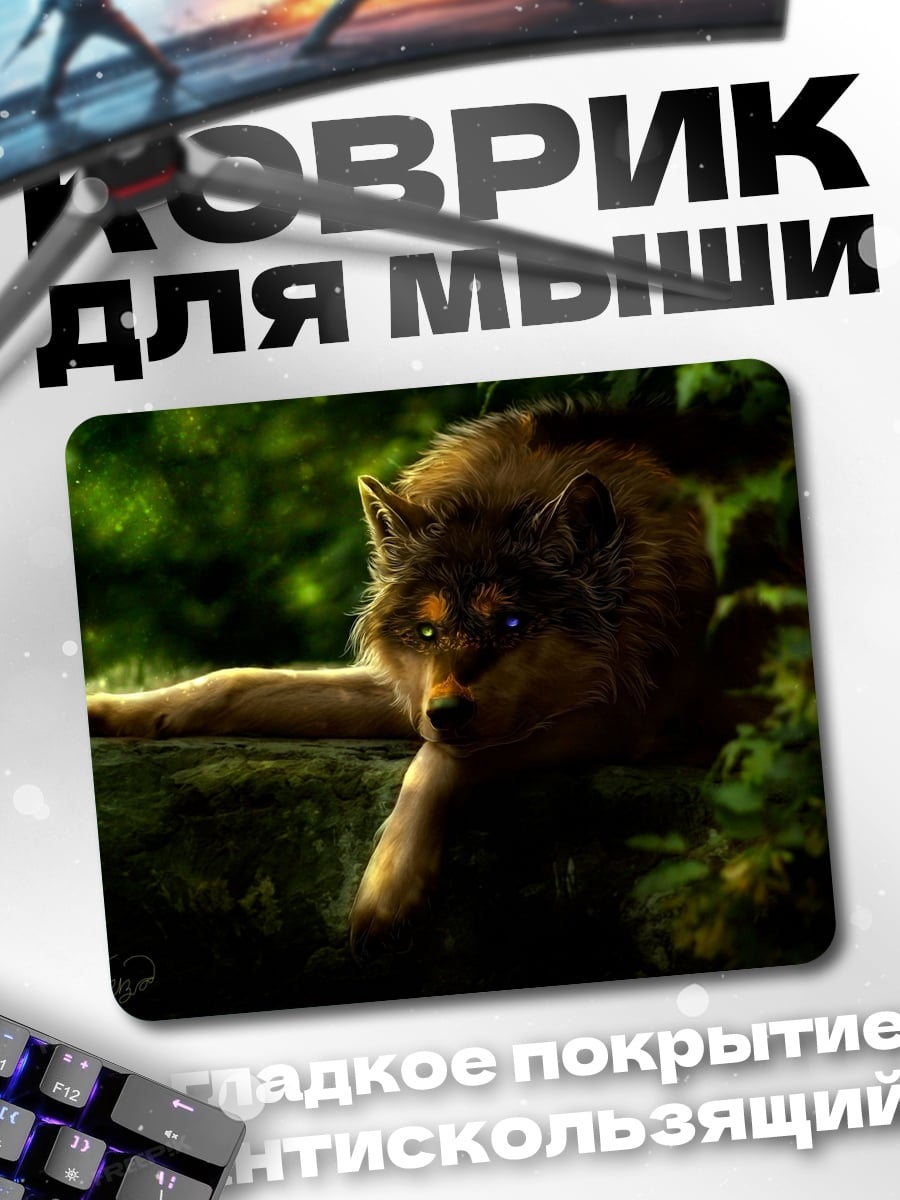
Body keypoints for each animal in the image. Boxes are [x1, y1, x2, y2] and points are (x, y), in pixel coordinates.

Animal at [87, 397, 716, 954]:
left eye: (512, 622)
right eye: (427, 632)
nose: (447, 713)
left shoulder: (632, 716)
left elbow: (437, 760)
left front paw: (385, 894)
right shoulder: (412, 695)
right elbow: (236, 679)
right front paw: (113, 711)